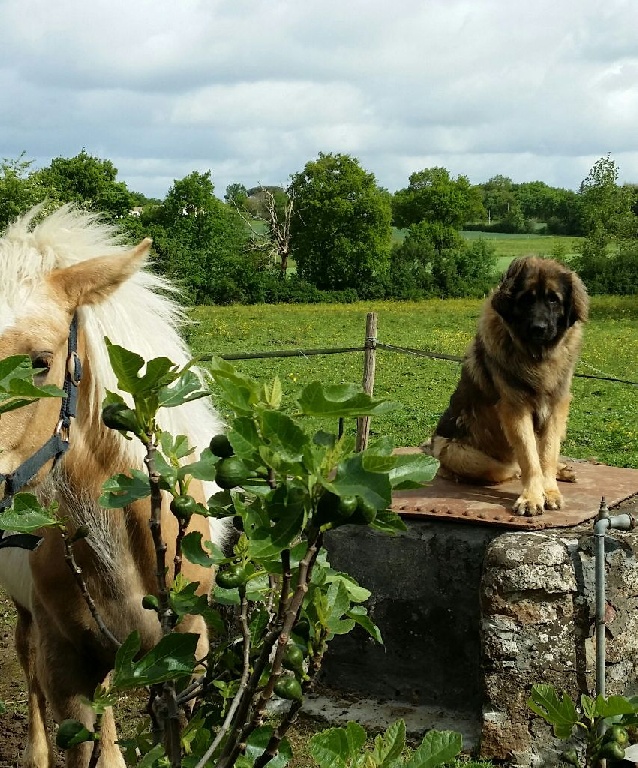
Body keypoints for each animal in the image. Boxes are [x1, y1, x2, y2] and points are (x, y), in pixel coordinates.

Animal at [430, 258, 592, 516]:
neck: (536, 357)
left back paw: (562, 470)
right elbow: (529, 457)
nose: (538, 328)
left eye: (553, 299)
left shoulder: (556, 406)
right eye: (525, 299)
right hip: (460, 454)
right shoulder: (515, 408)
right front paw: (533, 497)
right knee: (509, 467)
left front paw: (550, 491)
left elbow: (547, 453)